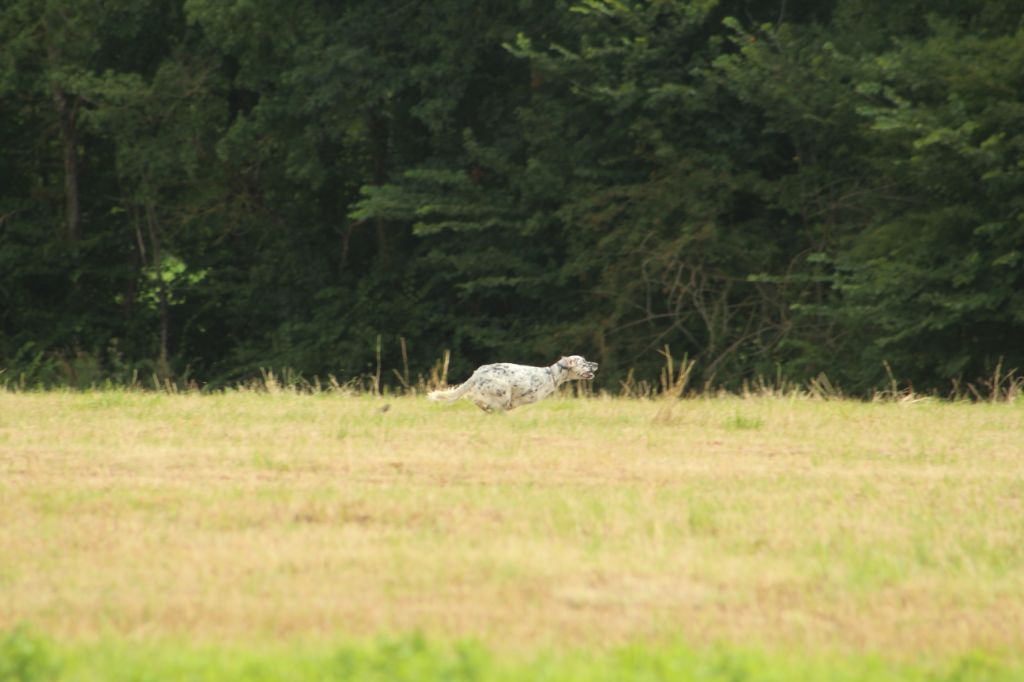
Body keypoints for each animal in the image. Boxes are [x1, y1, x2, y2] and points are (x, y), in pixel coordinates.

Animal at [425, 352, 598, 411]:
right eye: (584, 362)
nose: (596, 364)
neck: (551, 375)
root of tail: (478, 373)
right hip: (502, 390)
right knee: (479, 401)